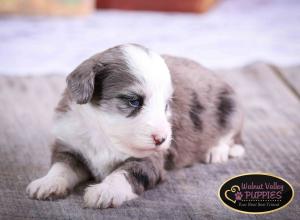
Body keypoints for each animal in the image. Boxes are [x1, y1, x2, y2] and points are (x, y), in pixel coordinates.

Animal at [27, 43, 245, 209]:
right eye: (133, 101)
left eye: (166, 105)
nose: (162, 139)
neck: (105, 134)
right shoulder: (70, 145)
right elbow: (61, 166)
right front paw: (47, 183)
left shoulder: (149, 160)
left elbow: (124, 173)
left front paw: (106, 190)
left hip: (231, 107)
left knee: (231, 135)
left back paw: (216, 151)